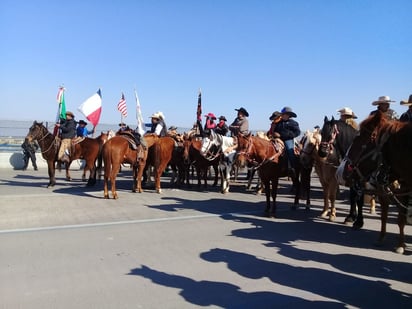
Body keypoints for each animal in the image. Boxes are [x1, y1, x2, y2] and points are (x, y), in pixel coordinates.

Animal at [336, 110, 410, 253]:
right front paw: (381, 238)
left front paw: (400, 245)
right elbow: (384, 214)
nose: (339, 173)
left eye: (359, 140)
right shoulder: (382, 191)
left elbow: (400, 217)